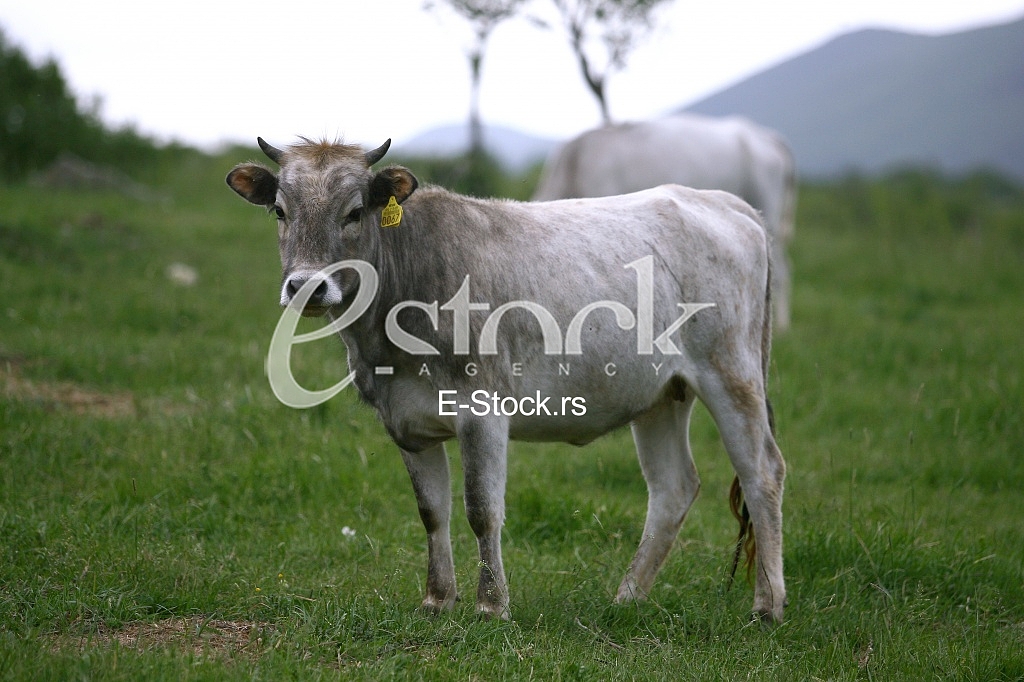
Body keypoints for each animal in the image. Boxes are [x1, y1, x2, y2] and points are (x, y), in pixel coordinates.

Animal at [225, 136, 787, 624]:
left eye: (355, 211)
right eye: (280, 211)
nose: (306, 286)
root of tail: (729, 205)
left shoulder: (483, 410)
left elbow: (481, 509)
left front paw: (491, 605)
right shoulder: (406, 421)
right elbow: (432, 511)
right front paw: (437, 600)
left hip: (732, 373)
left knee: (763, 472)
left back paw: (767, 605)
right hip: (660, 395)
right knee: (673, 487)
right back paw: (627, 597)